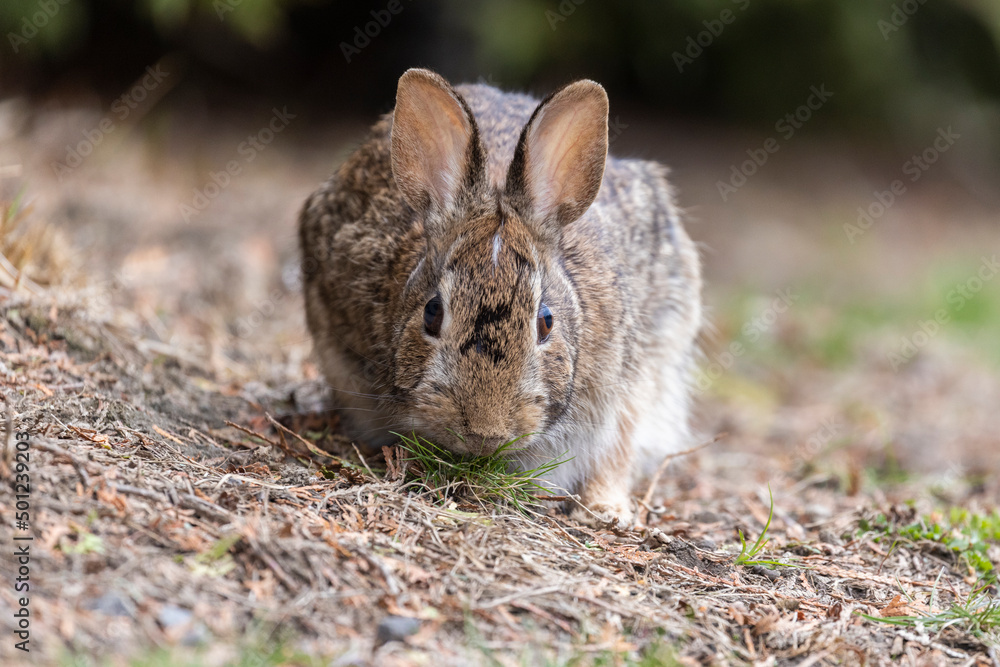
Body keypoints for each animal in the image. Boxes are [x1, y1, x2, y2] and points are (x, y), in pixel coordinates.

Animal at [299, 68, 702, 525]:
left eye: (546, 322)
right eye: (432, 313)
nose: (485, 432)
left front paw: (606, 511)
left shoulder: (629, 385)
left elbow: (616, 451)